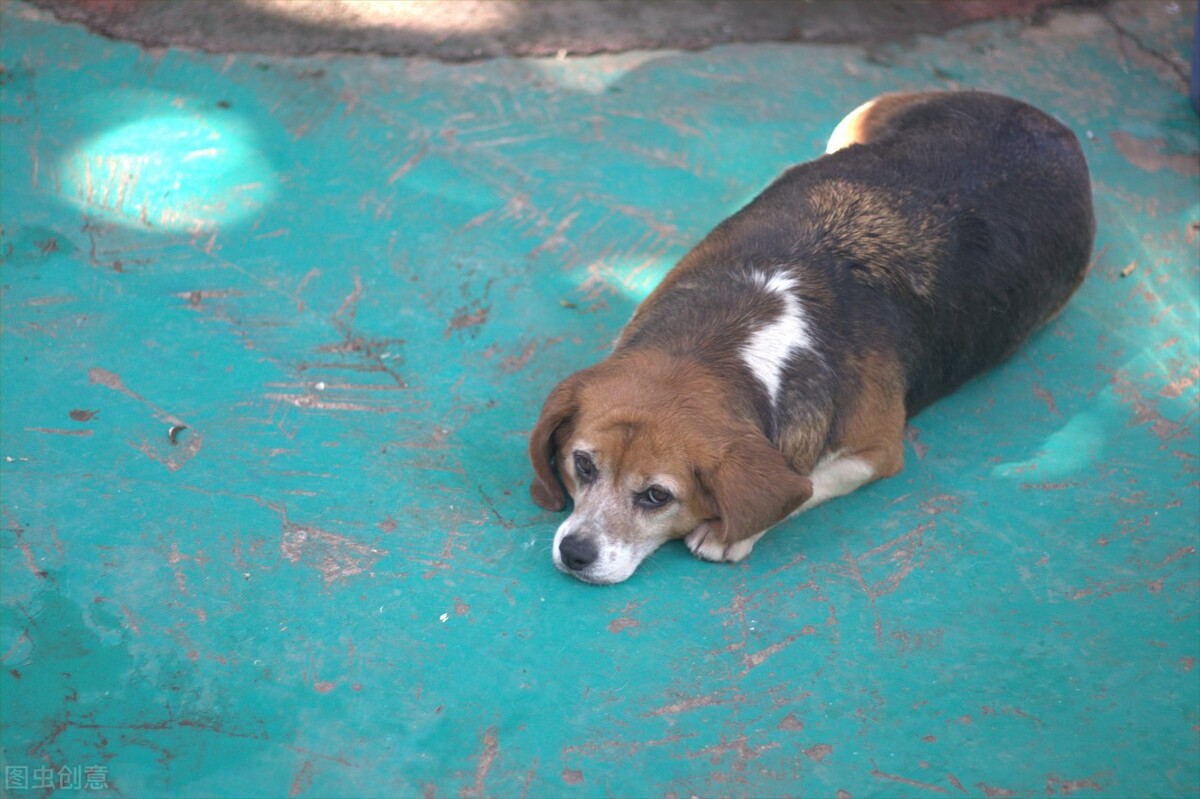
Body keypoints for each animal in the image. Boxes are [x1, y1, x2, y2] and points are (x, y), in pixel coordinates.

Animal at [530, 89, 1094, 583]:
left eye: (657, 496)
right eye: (582, 464)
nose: (576, 553)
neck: (724, 341)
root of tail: (1050, 122)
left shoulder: (877, 451)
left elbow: (802, 488)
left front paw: (728, 532)